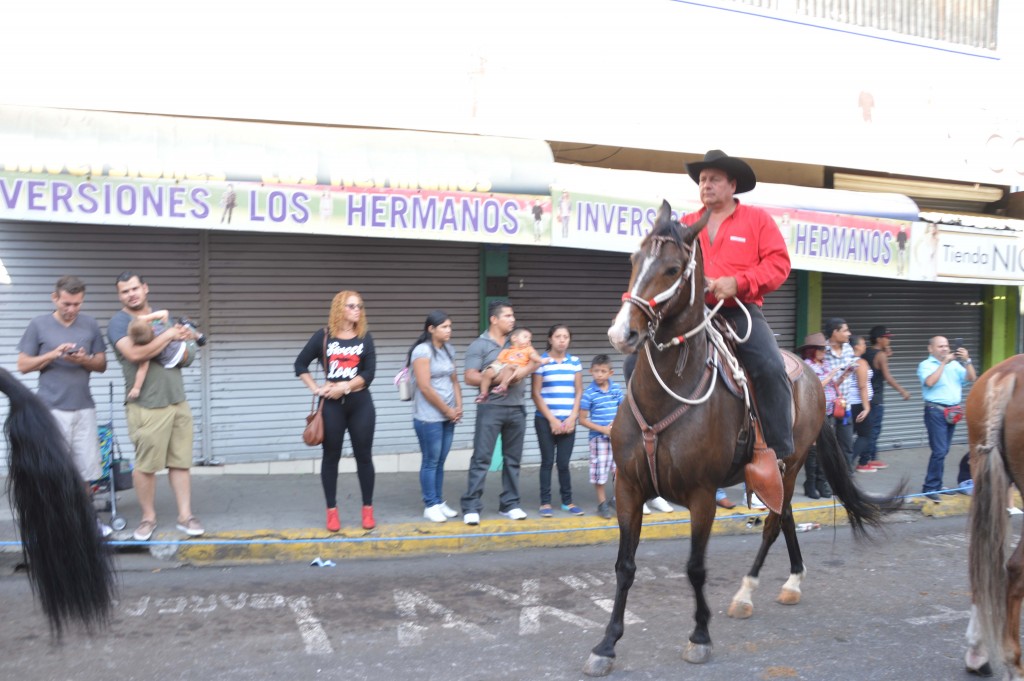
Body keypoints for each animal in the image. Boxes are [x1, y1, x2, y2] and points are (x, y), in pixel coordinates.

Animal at [585, 200, 905, 675]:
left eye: (673, 268)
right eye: (633, 259)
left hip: (789, 462)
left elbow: (695, 568)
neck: (666, 394)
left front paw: (700, 635)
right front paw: (606, 644)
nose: (622, 333)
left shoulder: (702, 494)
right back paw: (791, 580)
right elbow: (624, 566)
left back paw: (747, 591)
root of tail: (815, 374)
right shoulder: (629, 486)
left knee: (773, 523)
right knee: (785, 516)